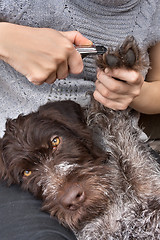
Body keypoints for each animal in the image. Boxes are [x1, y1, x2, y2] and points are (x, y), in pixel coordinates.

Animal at [0, 36, 160, 239]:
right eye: (26, 173)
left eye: (55, 141)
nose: (72, 199)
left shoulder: (147, 182)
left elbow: (114, 120)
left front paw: (121, 69)